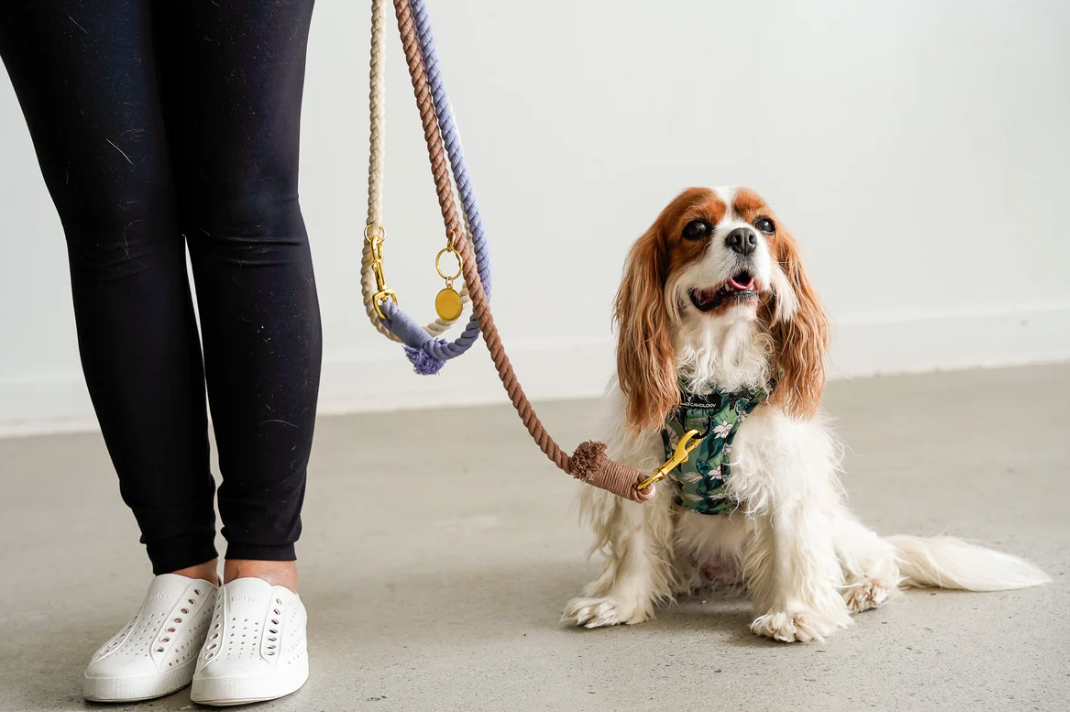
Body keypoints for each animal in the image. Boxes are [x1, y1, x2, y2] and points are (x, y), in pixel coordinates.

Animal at [564, 186, 1048, 642]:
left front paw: (795, 614)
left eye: (765, 224)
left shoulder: (786, 475)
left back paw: (862, 589)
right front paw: (618, 604)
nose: (744, 237)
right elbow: (635, 547)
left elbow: (792, 549)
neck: (713, 382)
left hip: (837, 526)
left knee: (878, 558)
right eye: (696, 228)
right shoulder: (642, 470)